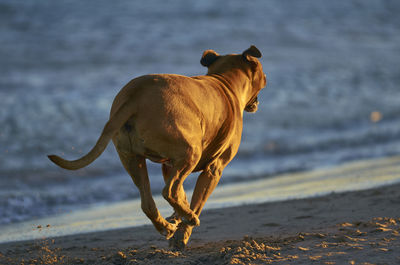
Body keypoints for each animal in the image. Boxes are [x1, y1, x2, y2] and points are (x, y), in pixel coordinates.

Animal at [48, 45, 268, 248]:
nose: (266, 78)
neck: (224, 82)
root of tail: (136, 95)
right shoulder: (214, 168)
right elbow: (195, 200)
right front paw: (184, 229)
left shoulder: (168, 165)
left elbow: (182, 195)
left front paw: (177, 219)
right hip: (190, 153)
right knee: (169, 191)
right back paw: (187, 218)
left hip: (132, 158)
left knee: (148, 201)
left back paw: (166, 226)